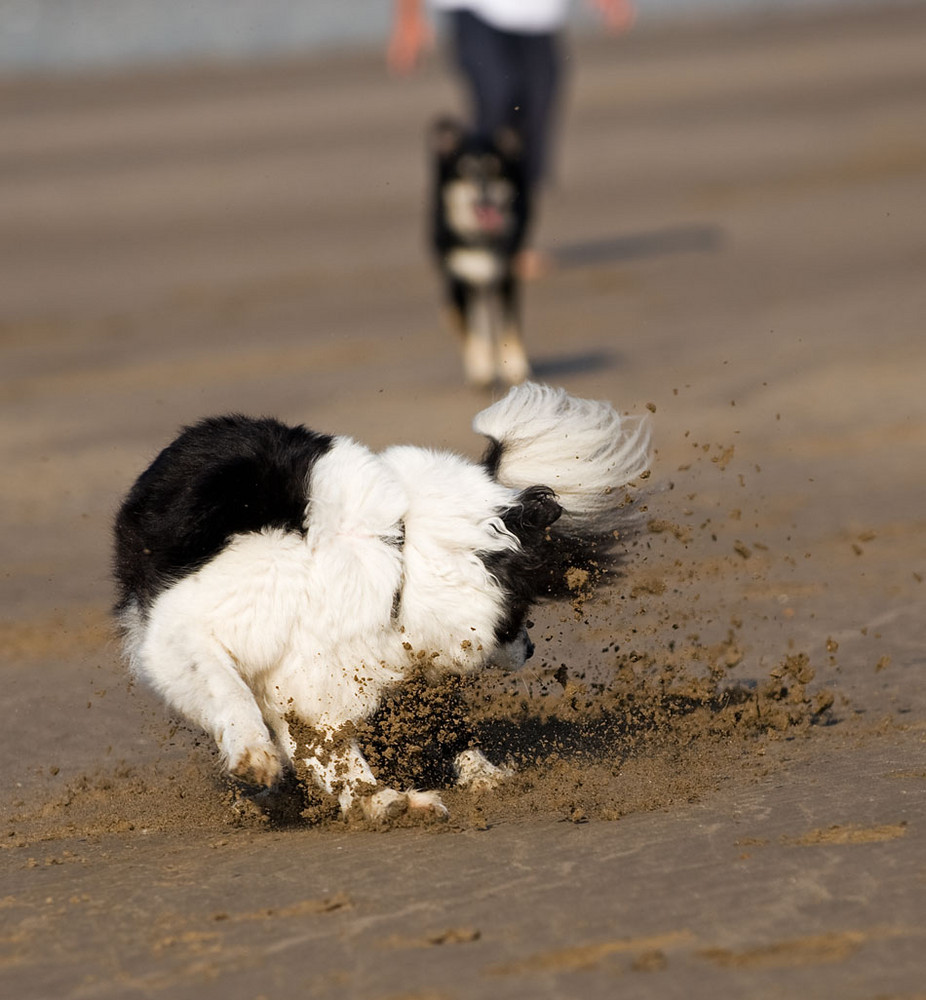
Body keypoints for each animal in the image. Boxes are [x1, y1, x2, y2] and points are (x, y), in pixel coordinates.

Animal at [114, 382, 652, 820]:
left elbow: (332, 751)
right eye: (520, 610)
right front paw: (255, 758)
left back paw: (479, 774)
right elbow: (229, 691)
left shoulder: (319, 674)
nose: (532, 648)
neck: (399, 551)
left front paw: (382, 801)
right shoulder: (186, 630)